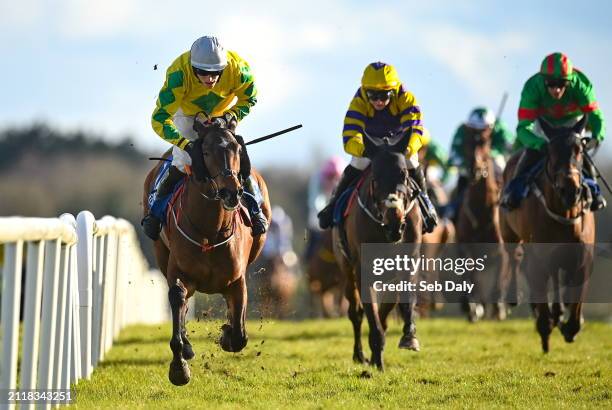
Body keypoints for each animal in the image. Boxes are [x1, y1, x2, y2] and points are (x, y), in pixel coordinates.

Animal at [143, 122, 270, 384]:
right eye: (207, 152)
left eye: (236, 149)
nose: (231, 192)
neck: (211, 230)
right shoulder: (179, 273)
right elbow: (177, 298)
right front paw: (179, 366)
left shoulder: (237, 280)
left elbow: (240, 336)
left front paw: (227, 333)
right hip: (161, 253)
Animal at [332, 135, 424, 372]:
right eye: (375, 177)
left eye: (404, 174)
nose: (395, 225)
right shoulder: (362, 271)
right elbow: (371, 317)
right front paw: (377, 361)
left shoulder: (406, 264)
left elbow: (392, 308)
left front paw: (408, 337)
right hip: (345, 267)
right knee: (355, 313)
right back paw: (360, 355)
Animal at [456, 126, 510, 322]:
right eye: (466, 141)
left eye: (486, 142)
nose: (475, 168)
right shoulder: (466, 246)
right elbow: (472, 274)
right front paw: (473, 307)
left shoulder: (501, 249)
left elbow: (500, 275)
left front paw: (498, 307)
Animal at [500, 116, 596, 352]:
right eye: (550, 151)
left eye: (579, 149)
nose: (570, 189)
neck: (564, 214)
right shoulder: (537, 259)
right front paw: (546, 330)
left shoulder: (583, 260)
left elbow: (576, 303)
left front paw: (570, 325)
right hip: (509, 232)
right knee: (514, 257)